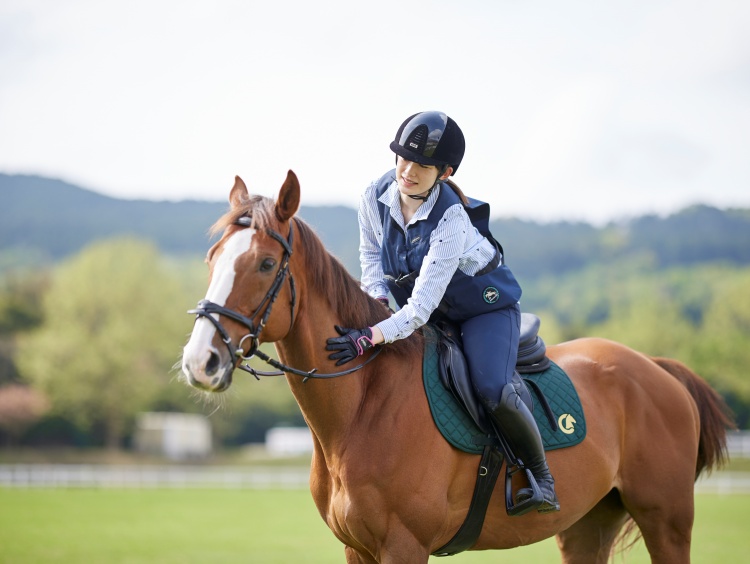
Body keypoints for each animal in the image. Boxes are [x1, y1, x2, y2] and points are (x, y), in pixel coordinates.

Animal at [181, 171, 734, 564]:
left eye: (265, 265)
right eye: (211, 259)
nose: (199, 362)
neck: (361, 409)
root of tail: (656, 368)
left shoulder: (404, 547)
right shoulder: (357, 549)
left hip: (666, 522)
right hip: (587, 526)